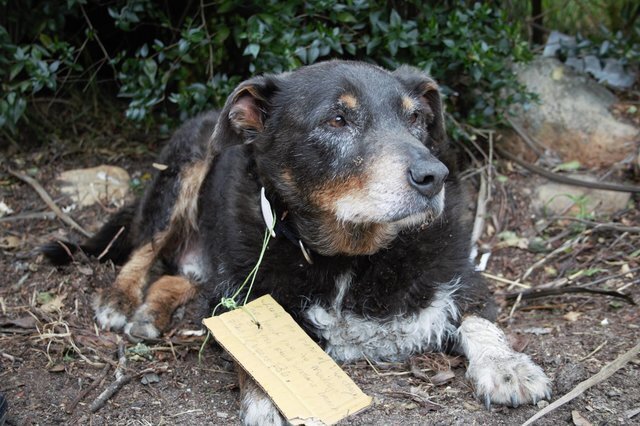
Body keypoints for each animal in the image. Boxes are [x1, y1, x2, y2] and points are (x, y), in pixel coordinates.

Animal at [45, 61, 552, 424]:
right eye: (337, 119)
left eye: (417, 120)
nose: (434, 176)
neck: (352, 257)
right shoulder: (240, 295)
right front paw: (270, 399)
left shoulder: (464, 277)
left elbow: (481, 323)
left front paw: (507, 367)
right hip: (182, 172)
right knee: (143, 249)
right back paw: (120, 299)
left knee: (181, 277)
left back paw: (152, 311)